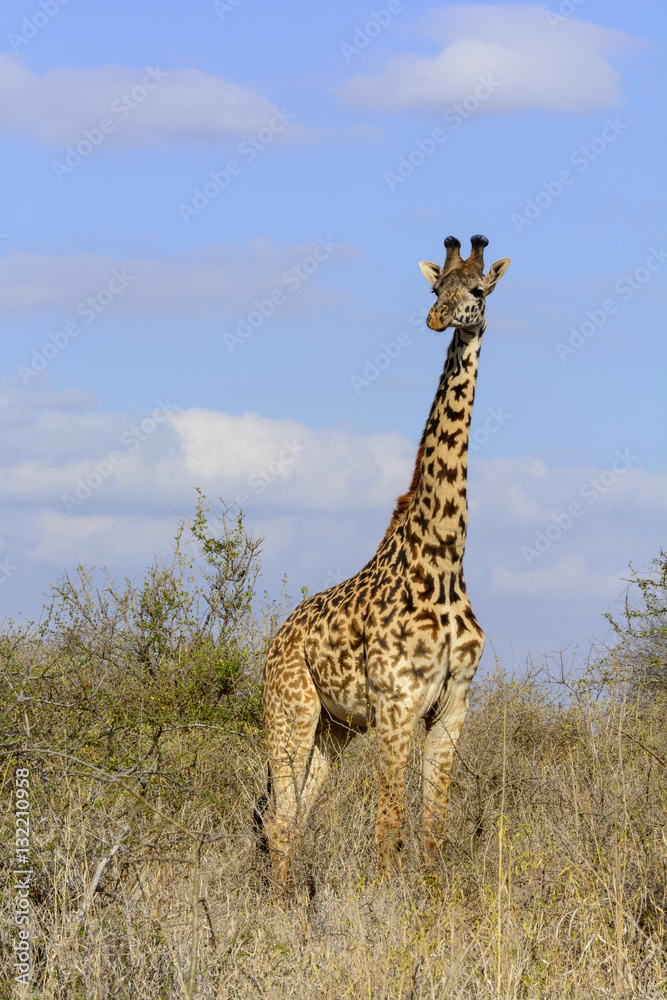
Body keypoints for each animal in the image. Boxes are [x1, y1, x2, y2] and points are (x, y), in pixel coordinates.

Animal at [257, 235, 510, 891]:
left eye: (478, 289)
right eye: (436, 287)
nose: (438, 318)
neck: (443, 561)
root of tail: (274, 640)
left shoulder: (452, 705)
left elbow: (431, 829)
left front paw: (428, 901)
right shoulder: (396, 704)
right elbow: (388, 827)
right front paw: (387, 905)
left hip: (335, 728)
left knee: (297, 813)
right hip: (289, 712)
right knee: (279, 818)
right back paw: (277, 906)